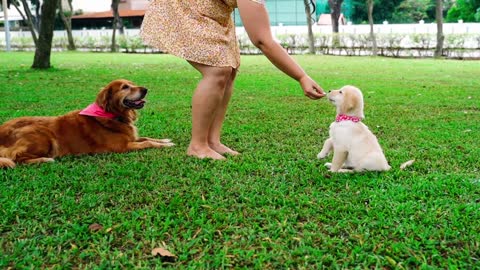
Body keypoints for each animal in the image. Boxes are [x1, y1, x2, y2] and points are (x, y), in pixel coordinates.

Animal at [0, 77, 172, 169]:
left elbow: (147, 138)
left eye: (133, 83)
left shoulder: (131, 138)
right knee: (17, 157)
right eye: (125, 87)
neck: (113, 115)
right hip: (43, 134)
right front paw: (165, 145)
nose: (145, 89)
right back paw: (44, 159)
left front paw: (165, 140)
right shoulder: (122, 147)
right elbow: (147, 143)